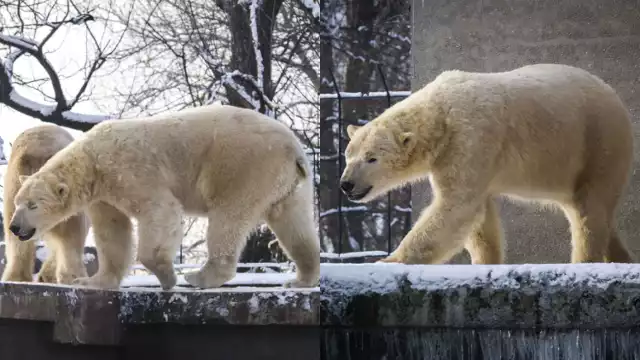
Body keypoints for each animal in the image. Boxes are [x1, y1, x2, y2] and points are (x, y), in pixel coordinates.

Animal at [340, 62, 636, 264]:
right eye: (348, 156)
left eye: (371, 158)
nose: (346, 184)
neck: (441, 114)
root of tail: (615, 97)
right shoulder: (453, 156)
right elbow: (480, 220)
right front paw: (485, 261)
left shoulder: (469, 138)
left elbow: (456, 206)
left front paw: (388, 260)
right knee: (592, 211)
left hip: (597, 143)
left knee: (590, 210)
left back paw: (585, 260)